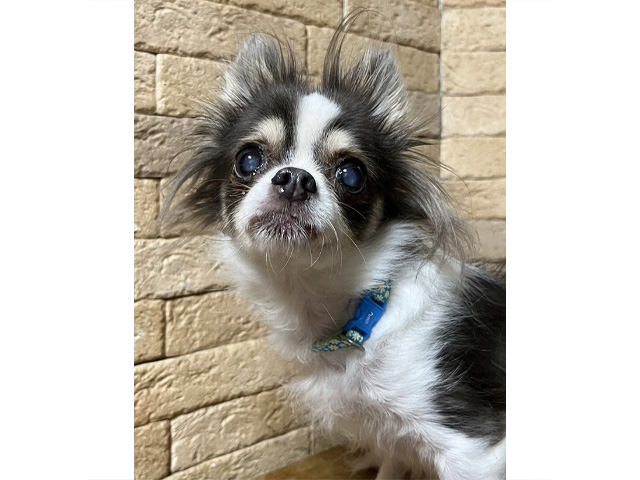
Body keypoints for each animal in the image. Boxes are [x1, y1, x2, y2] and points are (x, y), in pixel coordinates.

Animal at [161, 22, 506, 480]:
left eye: (352, 174)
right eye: (248, 159)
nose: (294, 179)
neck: (356, 315)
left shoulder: (473, 448)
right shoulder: (391, 436)